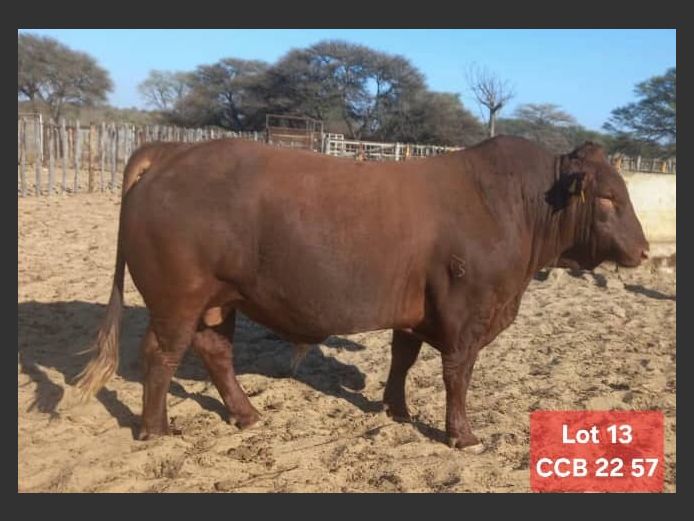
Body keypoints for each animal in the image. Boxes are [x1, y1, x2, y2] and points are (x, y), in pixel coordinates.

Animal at [75, 135, 648, 448]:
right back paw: (156, 429)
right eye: (607, 198)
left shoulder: (417, 310)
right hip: (179, 301)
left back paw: (246, 414)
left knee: (215, 351)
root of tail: (174, 152)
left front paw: (395, 409)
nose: (644, 250)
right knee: (161, 355)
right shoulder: (466, 314)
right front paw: (462, 435)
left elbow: (403, 357)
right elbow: (457, 374)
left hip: (219, 301)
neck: (513, 205)